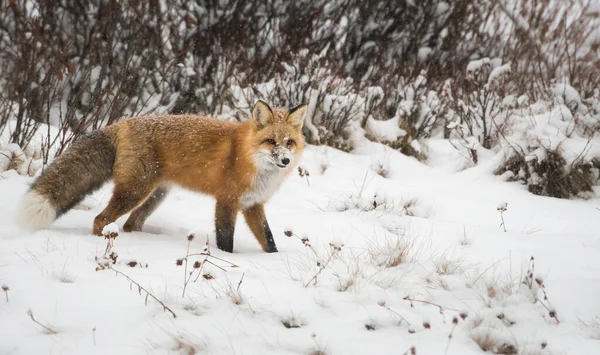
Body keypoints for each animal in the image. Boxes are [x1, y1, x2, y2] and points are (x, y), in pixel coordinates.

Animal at [16, 100, 308, 253]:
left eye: (289, 143)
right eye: (270, 141)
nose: (285, 160)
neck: (248, 157)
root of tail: (119, 124)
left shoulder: (252, 205)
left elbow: (269, 240)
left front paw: (273, 260)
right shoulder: (227, 202)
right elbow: (226, 241)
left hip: (156, 195)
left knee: (131, 223)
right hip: (134, 192)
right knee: (101, 219)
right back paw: (105, 243)